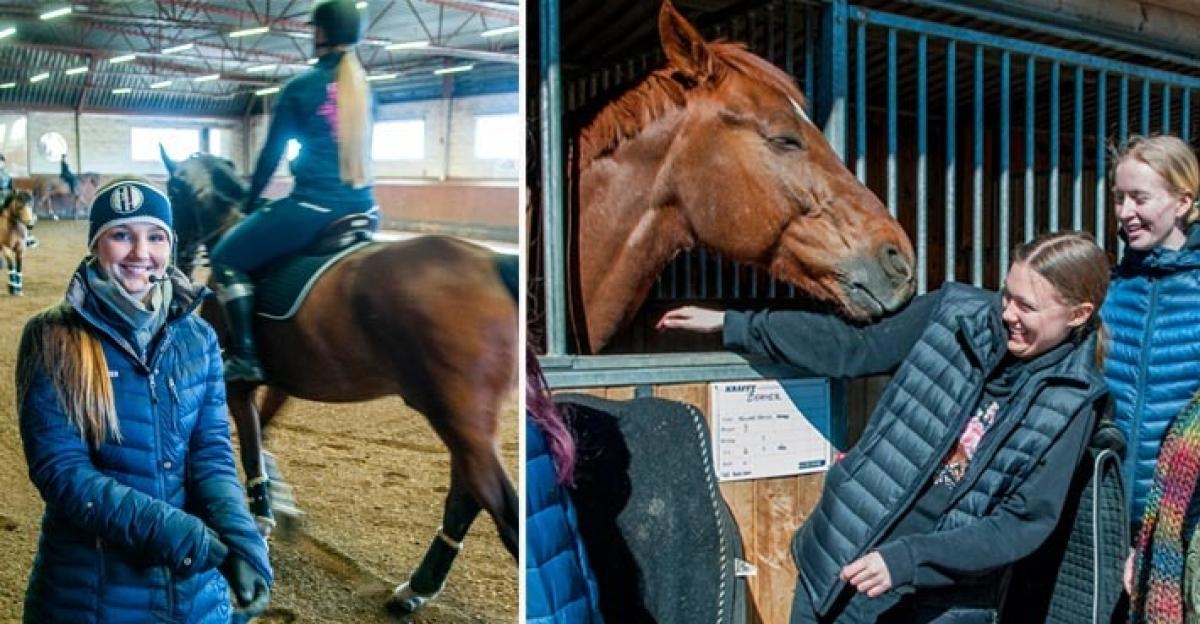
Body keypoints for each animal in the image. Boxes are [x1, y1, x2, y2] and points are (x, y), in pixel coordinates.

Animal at [159, 150, 516, 614]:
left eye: (172, 190)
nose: (177, 263)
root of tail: (493, 263)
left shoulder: (235, 384)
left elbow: (252, 449)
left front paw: (263, 518)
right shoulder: (282, 382)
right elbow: (264, 436)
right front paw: (283, 507)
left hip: (456, 414)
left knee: (501, 508)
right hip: (463, 420)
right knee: (467, 495)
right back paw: (417, 587)